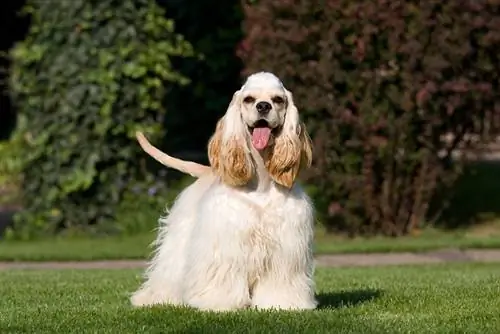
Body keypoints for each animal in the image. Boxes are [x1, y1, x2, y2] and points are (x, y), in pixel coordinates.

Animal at [130, 72, 316, 312]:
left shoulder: (285, 244)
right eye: (249, 99)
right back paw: (155, 298)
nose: (263, 106)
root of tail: (206, 171)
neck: (261, 183)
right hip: (180, 238)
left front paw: (282, 304)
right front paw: (218, 303)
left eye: (278, 99)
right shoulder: (226, 243)